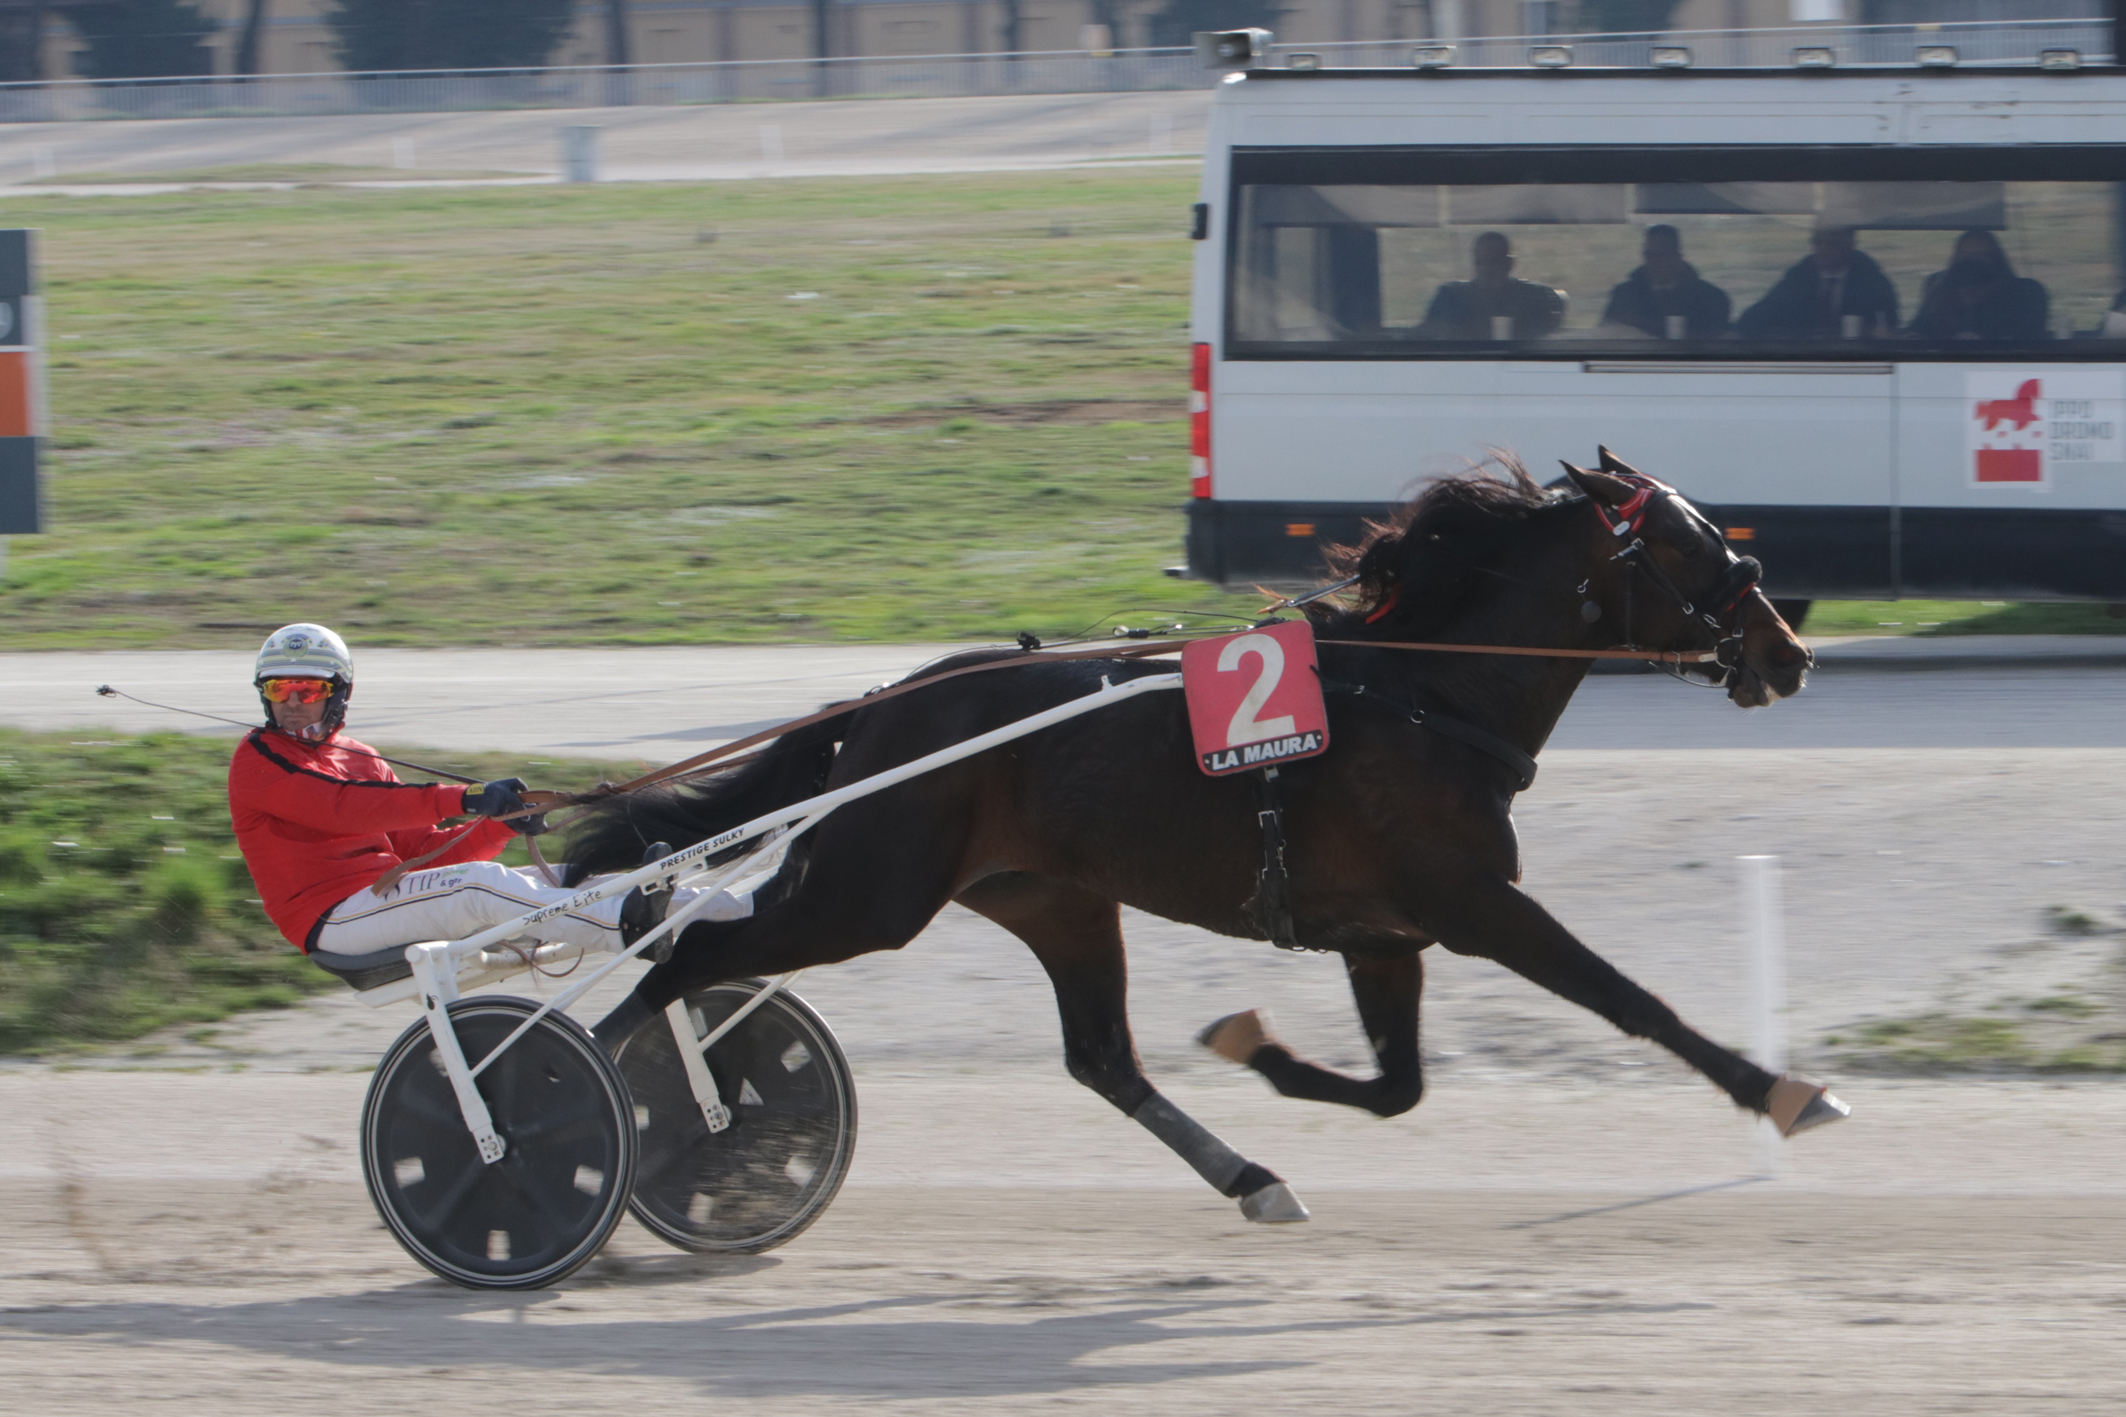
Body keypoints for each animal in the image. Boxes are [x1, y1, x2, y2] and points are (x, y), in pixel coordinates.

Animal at [569, 452, 1845, 1223]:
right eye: (1685, 545)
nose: (1785, 652)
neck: (1425, 694)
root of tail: (881, 706)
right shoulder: (1472, 902)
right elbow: (1629, 998)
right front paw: (1782, 1090)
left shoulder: (1383, 934)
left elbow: (1396, 1089)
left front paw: (1255, 1046)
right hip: (870, 893)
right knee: (679, 956)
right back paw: (607, 1114)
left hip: (1053, 898)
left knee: (1099, 1056)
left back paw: (1249, 1175)